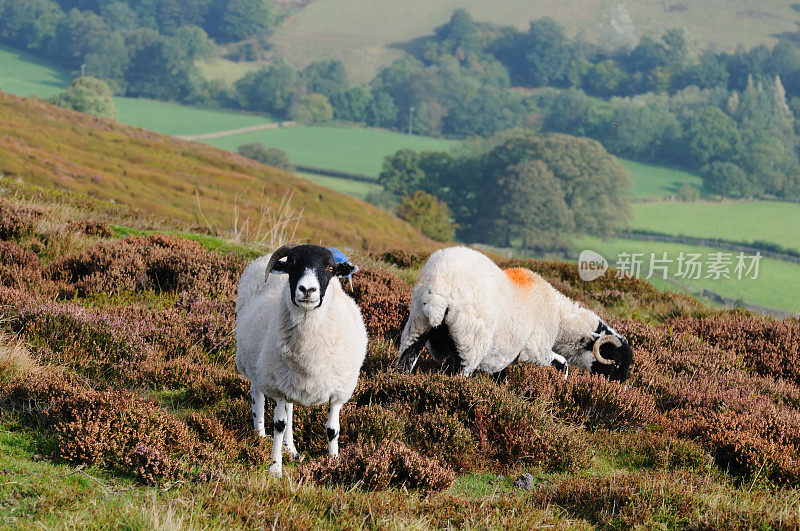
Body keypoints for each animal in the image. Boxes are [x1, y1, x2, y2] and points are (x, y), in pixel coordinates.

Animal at [233, 243, 368, 476]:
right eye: (292, 264)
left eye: (330, 268)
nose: (307, 290)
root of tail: (262, 259)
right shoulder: (278, 387)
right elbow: (279, 424)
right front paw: (275, 467)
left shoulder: (338, 392)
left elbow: (333, 430)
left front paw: (334, 463)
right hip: (256, 367)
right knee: (258, 398)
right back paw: (260, 435)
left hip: (291, 381)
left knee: (291, 411)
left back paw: (291, 449)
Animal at [396, 247, 636, 380]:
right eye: (615, 363)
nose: (621, 385)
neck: (560, 318)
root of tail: (440, 287)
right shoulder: (534, 350)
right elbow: (562, 363)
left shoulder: (506, 355)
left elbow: (501, 377)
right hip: (470, 340)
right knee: (459, 373)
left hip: (418, 324)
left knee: (405, 360)